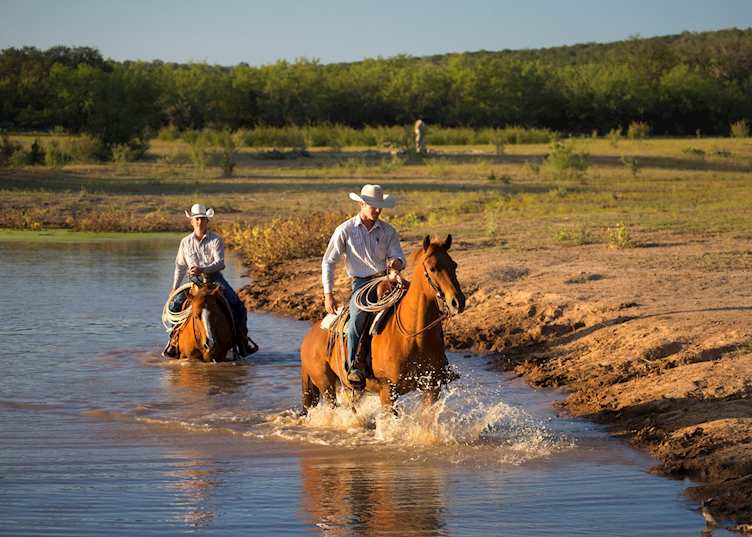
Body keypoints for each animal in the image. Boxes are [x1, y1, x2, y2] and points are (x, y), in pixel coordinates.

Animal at [300, 234, 466, 413]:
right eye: (433, 268)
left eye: (454, 265)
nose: (457, 301)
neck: (413, 336)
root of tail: (309, 337)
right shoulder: (388, 391)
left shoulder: (432, 387)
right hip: (326, 385)